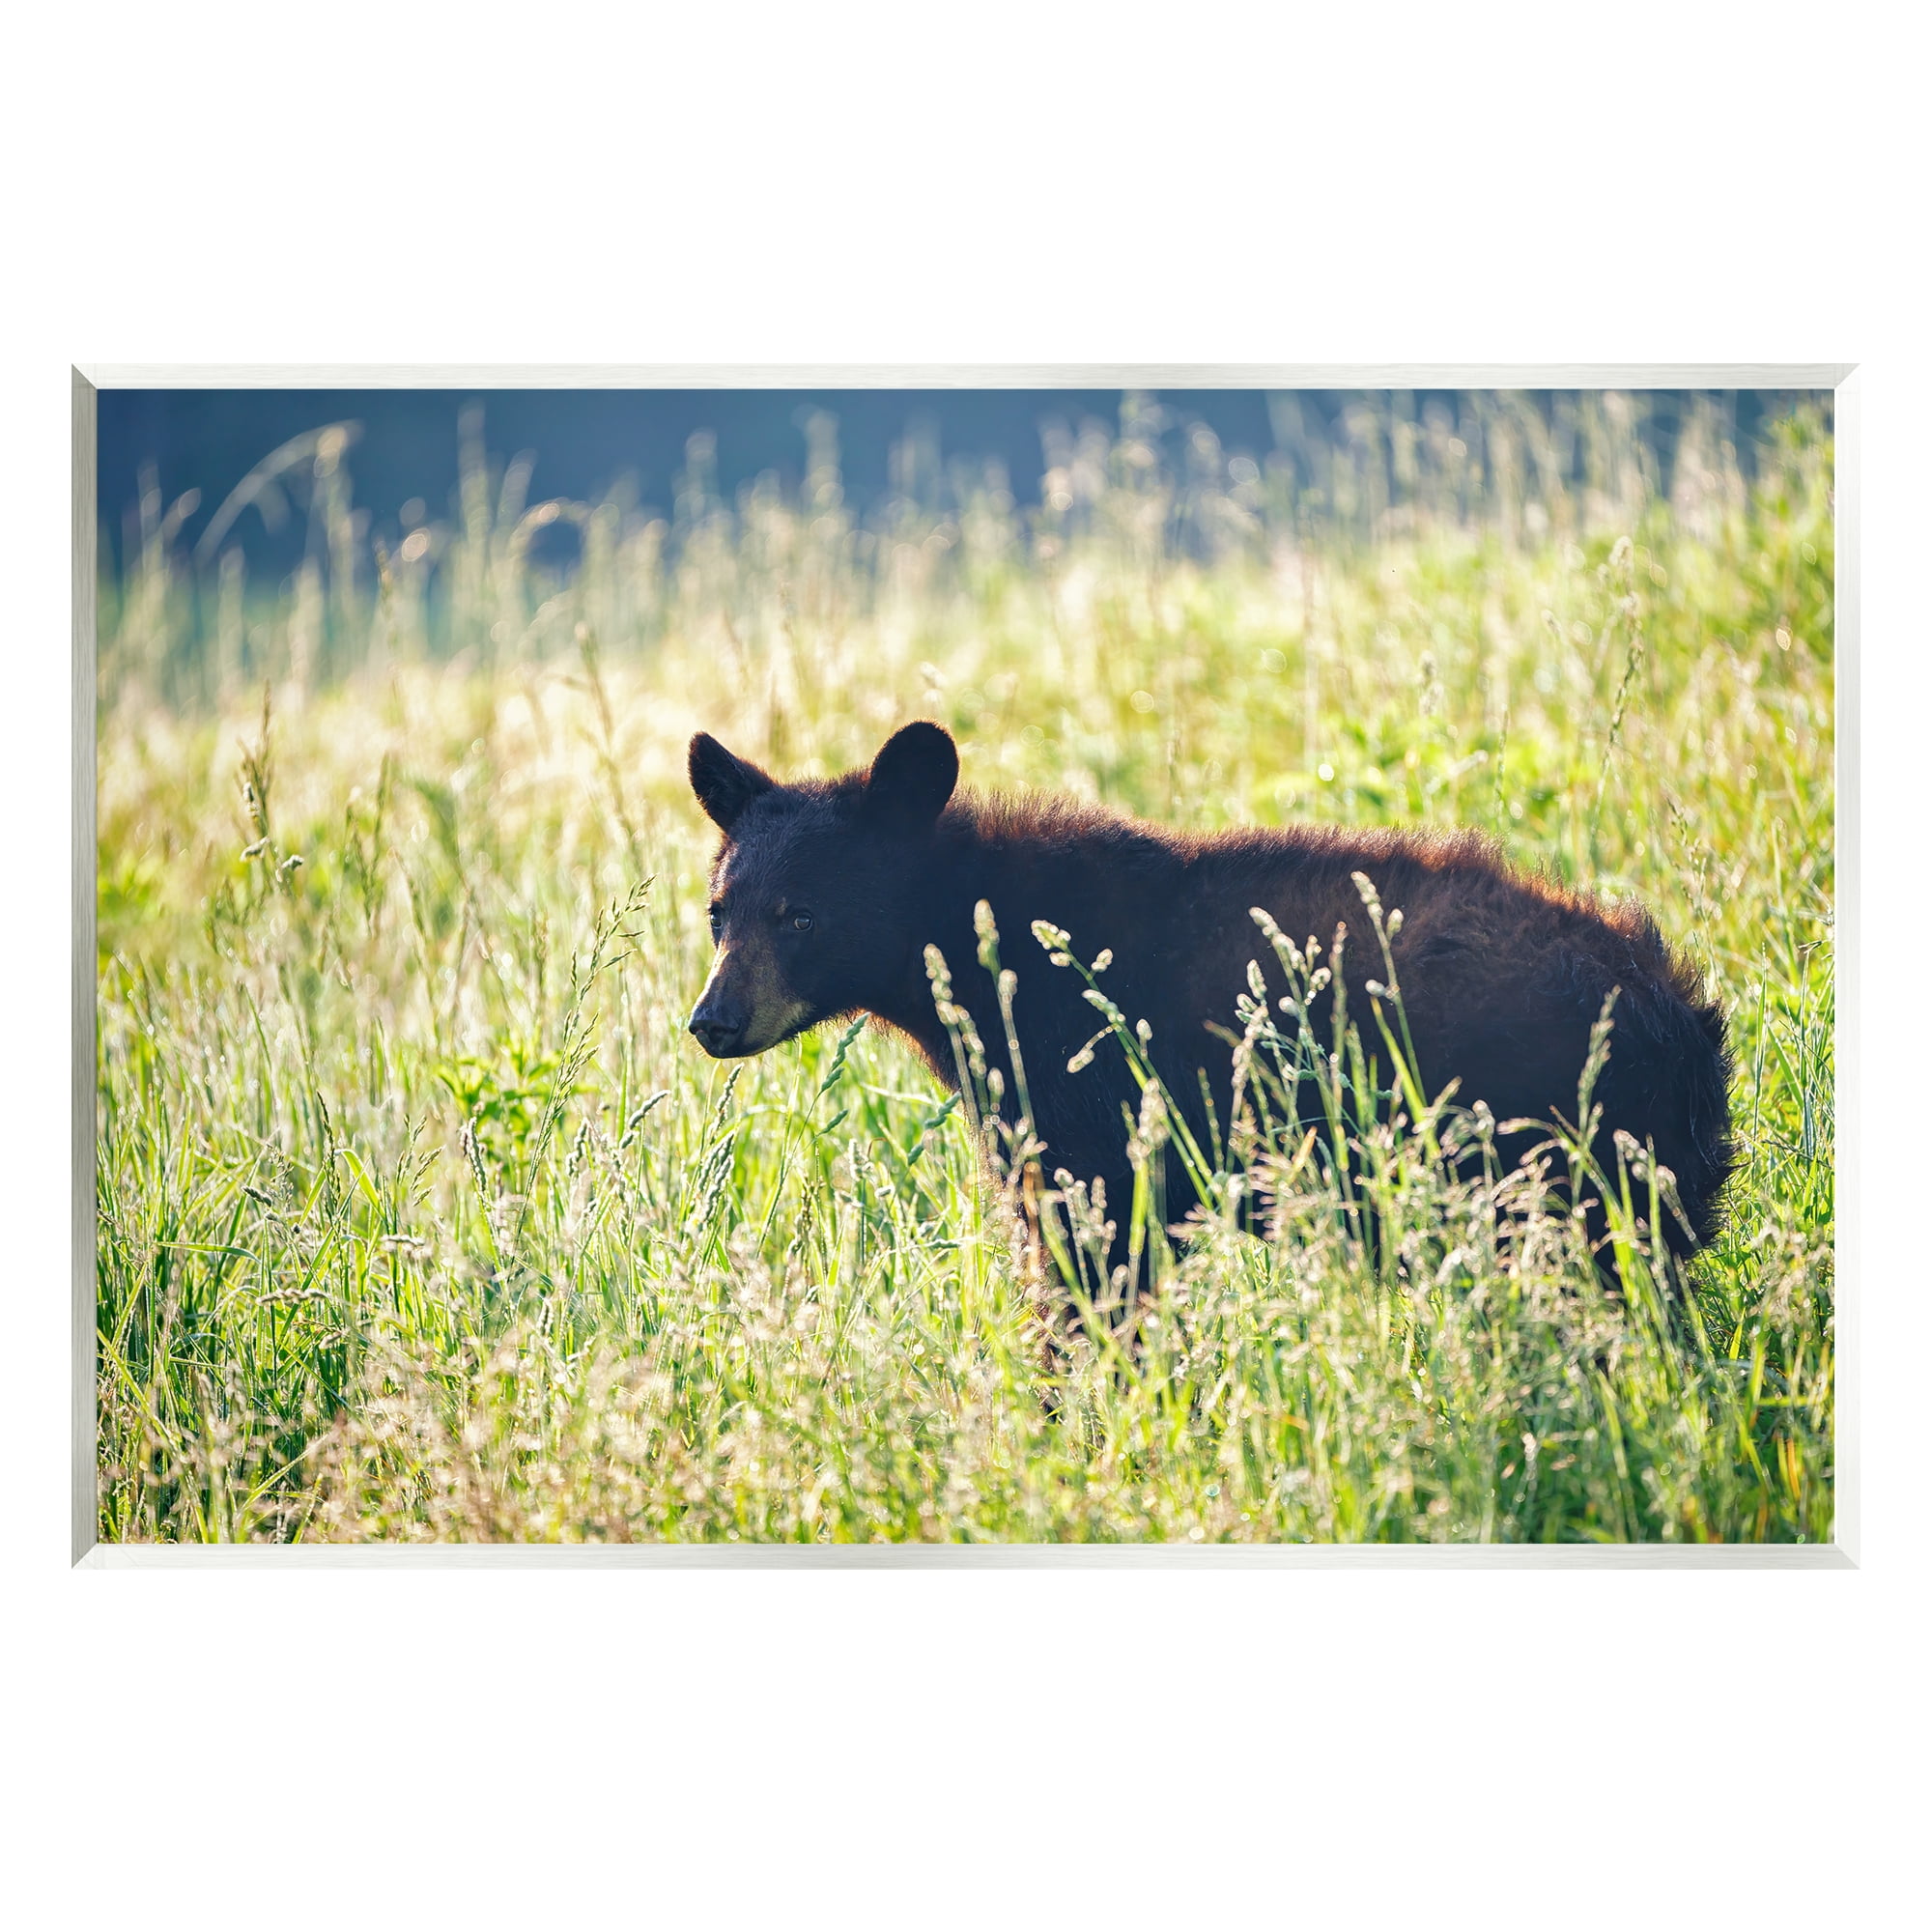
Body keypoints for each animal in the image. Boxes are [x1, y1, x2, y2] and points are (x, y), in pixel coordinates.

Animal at [685, 719, 1734, 1280]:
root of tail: (1675, 1017)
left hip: (1546, 1158)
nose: (712, 1022)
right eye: (717, 911)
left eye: (801, 915)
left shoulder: (1095, 1109)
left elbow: (1093, 1268)